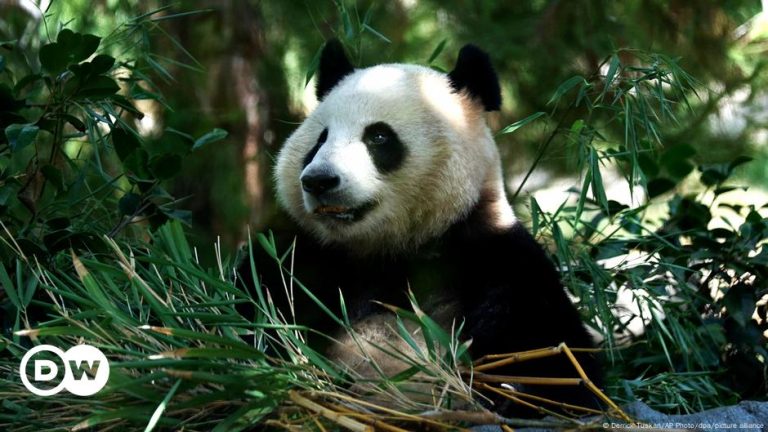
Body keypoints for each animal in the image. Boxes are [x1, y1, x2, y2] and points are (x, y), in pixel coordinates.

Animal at [246, 39, 602, 416]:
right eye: (320, 139)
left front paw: (512, 391)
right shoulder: (302, 256)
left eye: (379, 136)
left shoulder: (497, 256)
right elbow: (251, 308)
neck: (392, 248)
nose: (319, 180)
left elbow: (557, 363)